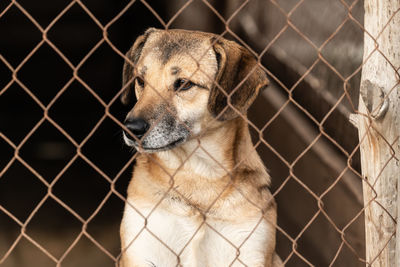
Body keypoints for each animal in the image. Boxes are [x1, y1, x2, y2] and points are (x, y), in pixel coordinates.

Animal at [118, 28, 282, 266]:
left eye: (184, 84)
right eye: (140, 80)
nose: (131, 128)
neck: (197, 176)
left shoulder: (250, 251)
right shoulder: (142, 248)